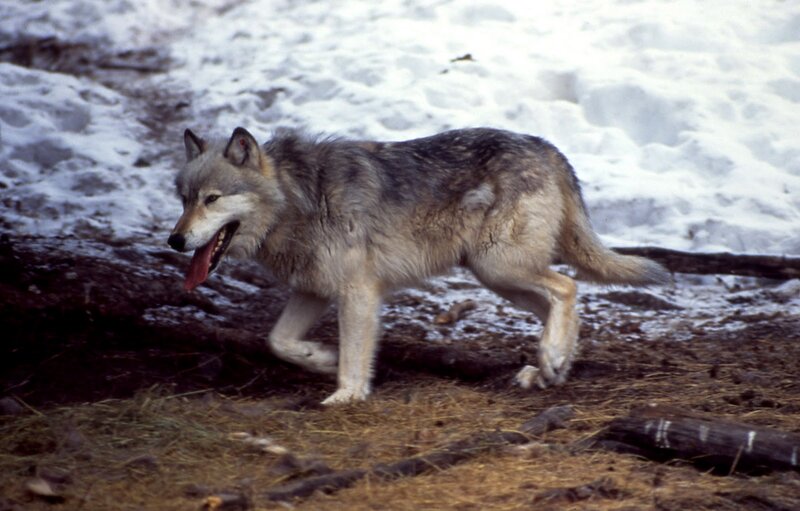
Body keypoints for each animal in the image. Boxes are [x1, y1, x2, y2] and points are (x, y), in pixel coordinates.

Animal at [167, 126, 669, 405]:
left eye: (212, 199)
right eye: (184, 199)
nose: (175, 240)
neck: (297, 199)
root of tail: (545, 145)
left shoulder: (358, 292)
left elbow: (354, 356)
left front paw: (347, 395)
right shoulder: (312, 290)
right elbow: (279, 342)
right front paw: (322, 360)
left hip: (499, 267)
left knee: (567, 287)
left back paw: (551, 360)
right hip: (498, 276)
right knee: (560, 303)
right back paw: (549, 368)